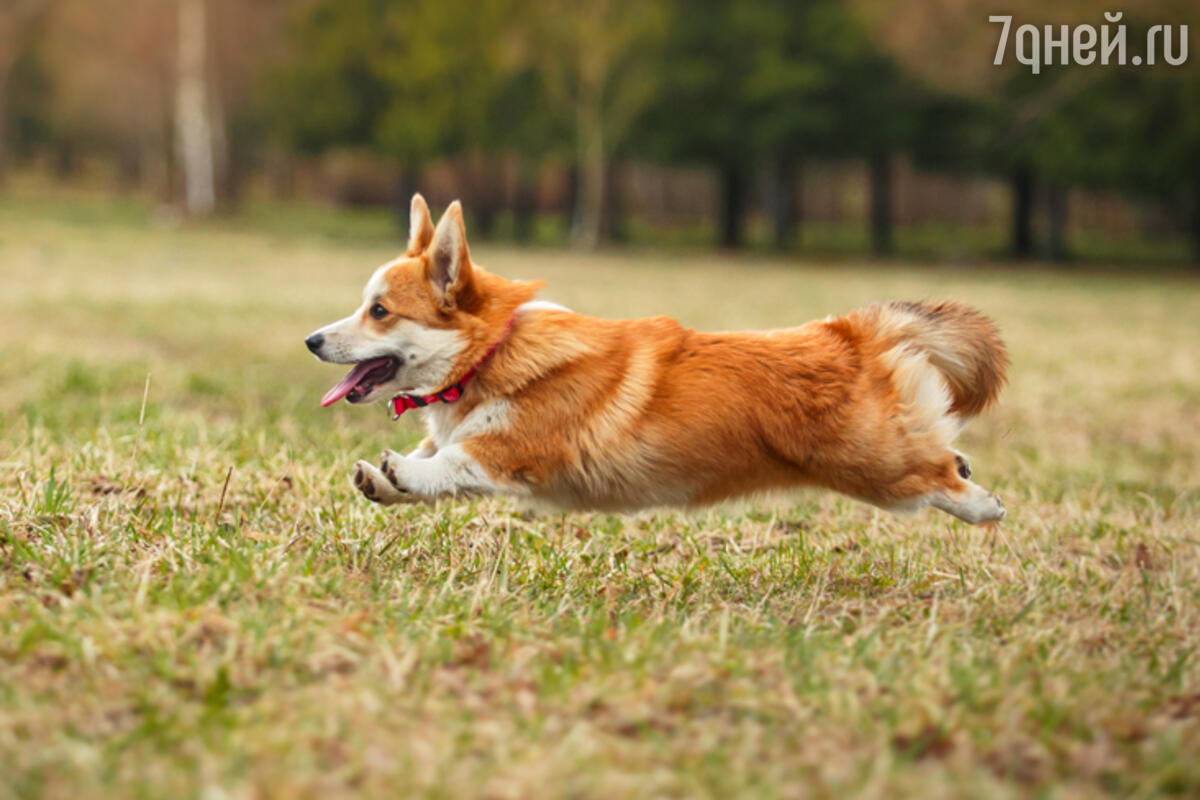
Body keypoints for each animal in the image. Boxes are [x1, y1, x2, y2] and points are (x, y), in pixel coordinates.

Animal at [304, 195, 1008, 525]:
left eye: (379, 311)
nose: (311, 341)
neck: (490, 354)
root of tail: (849, 332)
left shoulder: (517, 450)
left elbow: (451, 461)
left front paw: (401, 471)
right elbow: (428, 465)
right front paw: (383, 480)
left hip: (872, 465)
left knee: (935, 472)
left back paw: (985, 505)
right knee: (942, 450)